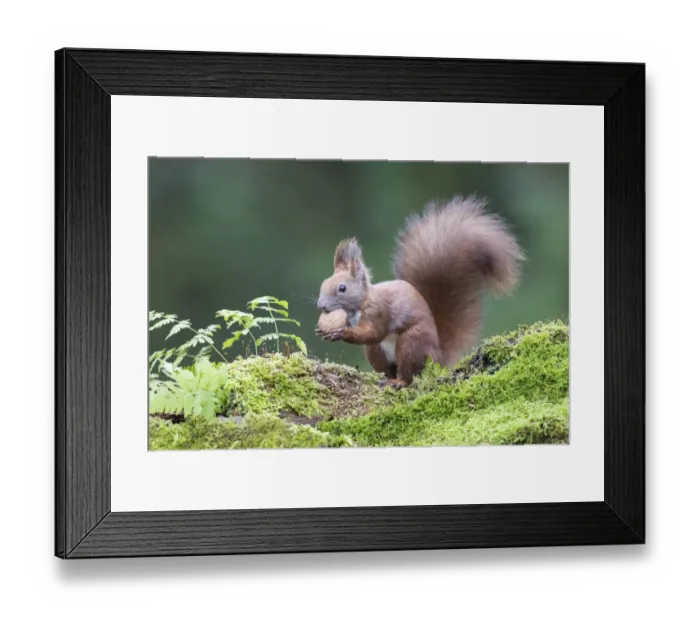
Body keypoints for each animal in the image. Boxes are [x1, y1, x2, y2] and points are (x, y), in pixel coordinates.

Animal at [315, 195, 525, 388]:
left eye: (342, 288)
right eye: (323, 283)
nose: (321, 305)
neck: (360, 304)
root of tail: (438, 360)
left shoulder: (378, 311)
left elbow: (373, 333)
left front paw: (341, 332)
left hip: (411, 344)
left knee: (409, 373)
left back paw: (398, 382)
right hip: (375, 352)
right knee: (388, 368)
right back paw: (386, 378)